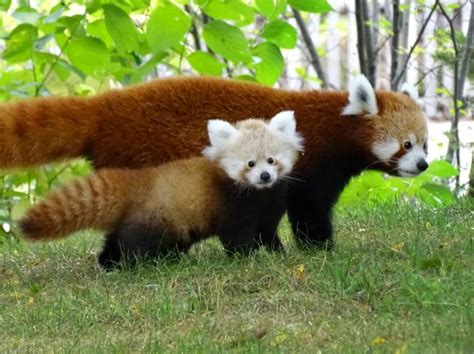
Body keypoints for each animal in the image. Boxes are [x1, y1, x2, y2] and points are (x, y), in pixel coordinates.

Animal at [0, 74, 430, 249]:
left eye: (426, 144)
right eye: (406, 144)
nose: (423, 165)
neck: (335, 125)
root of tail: (104, 107)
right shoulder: (312, 168)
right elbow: (309, 214)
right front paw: (321, 250)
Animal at [18, 112, 304, 268]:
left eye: (271, 160)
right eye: (250, 164)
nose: (265, 176)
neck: (259, 195)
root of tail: (139, 182)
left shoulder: (270, 208)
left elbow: (267, 233)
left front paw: (278, 253)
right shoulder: (232, 207)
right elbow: (237, 238)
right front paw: (246, 258)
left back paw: (109, 263)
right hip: (156, 219)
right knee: (135, 244)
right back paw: (132, 265)